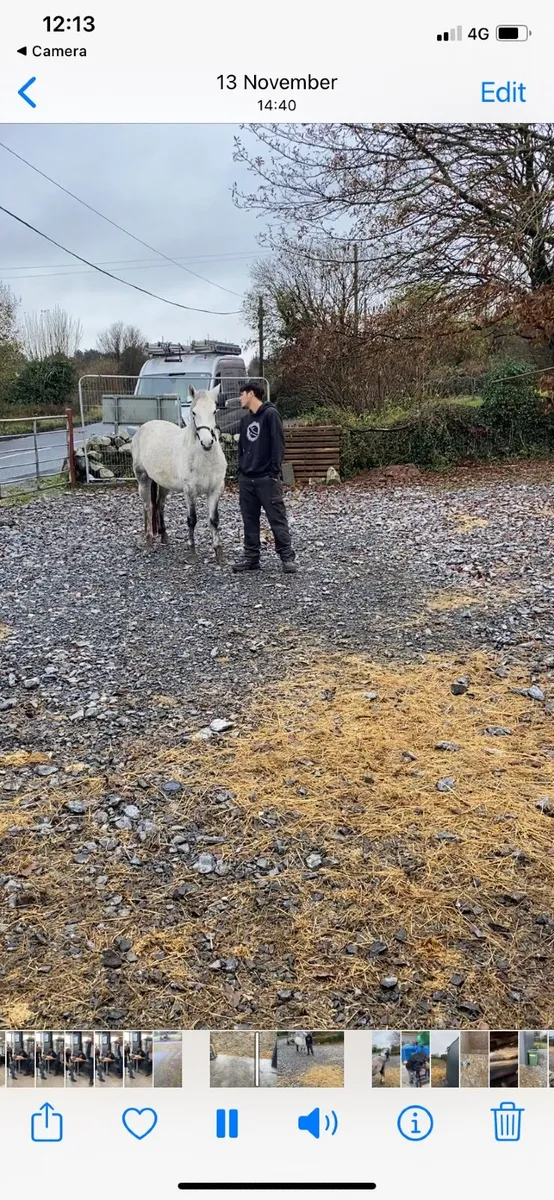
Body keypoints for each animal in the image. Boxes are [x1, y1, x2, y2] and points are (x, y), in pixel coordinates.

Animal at [131, 384, 227, 563]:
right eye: (194, 412)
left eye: (214, 411)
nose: (207, 443)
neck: (204, 458)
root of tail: (144, 427)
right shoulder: (190, 491)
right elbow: (192, 520)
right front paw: (192, 551)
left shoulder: (215, 490)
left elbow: (213, 520)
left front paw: (219, 552)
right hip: (143, 478)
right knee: (148, 506)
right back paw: (148, 540)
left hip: (163, 484)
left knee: (159, 504)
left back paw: (163, 536)